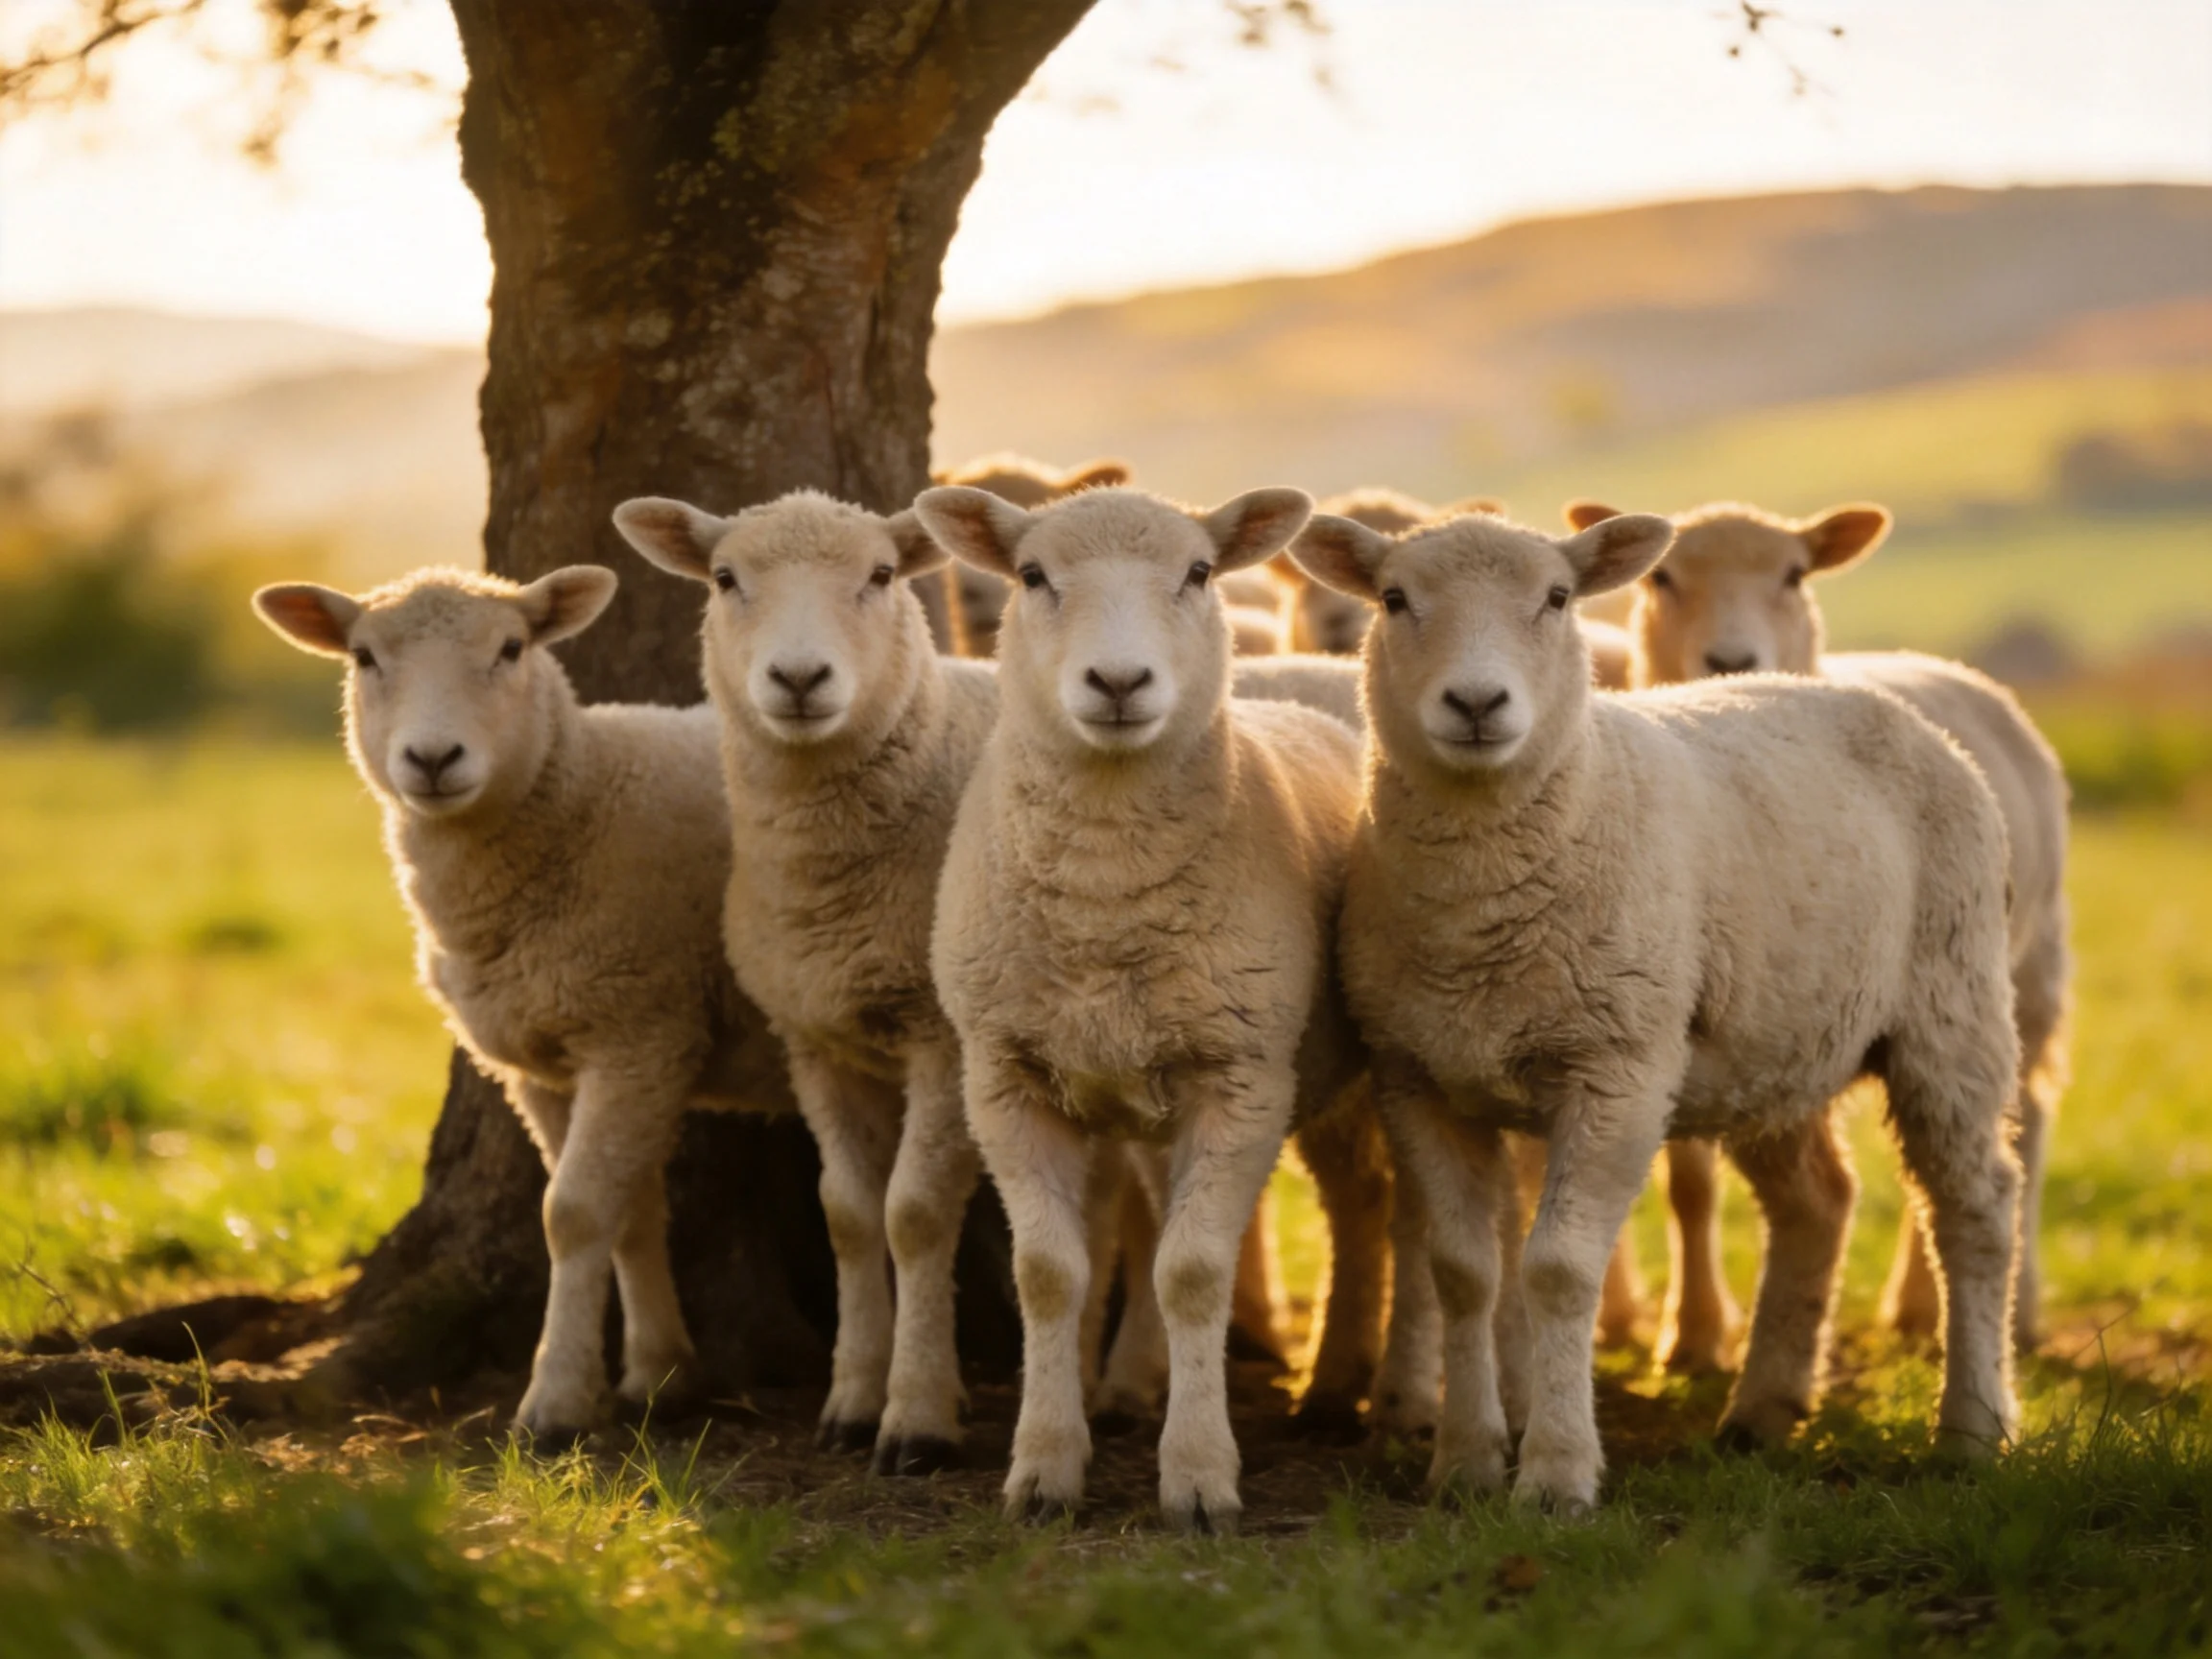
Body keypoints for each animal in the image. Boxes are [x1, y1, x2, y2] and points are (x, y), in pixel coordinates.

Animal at [251, 565, 789, 1439]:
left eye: (511, 648)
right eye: (364, 657)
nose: (433, 757)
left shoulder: (640, 1028)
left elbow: (571, 1214)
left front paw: (556, 1402)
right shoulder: (547, 1060)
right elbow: (630, 1210)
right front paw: (660, 1372)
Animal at [610, 489, 1002, 1475]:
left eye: (880, 575)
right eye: (724, 578)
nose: (797, 678)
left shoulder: (945, 1037)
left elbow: (915, 1212)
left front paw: (916, 1418)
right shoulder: (816, 1038)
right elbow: (850, 1216)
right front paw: (854, 1401)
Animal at [914, 480, 1381, 1530]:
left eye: (1200, 573)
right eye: (1033, 575)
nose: (1119, 681)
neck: (1105, 889)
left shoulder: (1243, 1077)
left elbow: (1193, 1270)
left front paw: (1200, 1476)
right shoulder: (1004, 1076)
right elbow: (1050, 1272)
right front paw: (1045, 1466)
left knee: (1371, 1205)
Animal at [1291, 505, 2023, 1511]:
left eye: (1558, 598)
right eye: (1395, 599)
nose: (1477, 705)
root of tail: (1872, 699)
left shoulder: (1618, 1070)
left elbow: (1559, 1271)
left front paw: (1557, 1476)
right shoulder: (1419, 1077)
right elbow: (1464, 1273)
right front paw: (1465, 1464)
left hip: (1950, 1004)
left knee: (1976, 1206)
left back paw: (1971, 1430)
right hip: (1775, 1043)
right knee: (1818, 1201)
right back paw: (1762, 1413)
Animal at [1567, 497, 2070, 1361]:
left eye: (1794, 575)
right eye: (1665, 577)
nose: (1730, 658)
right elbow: (1689, 1184)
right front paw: (1694, 1333)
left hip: (2016, 977)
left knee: (2021, 1131)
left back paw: (2007, 1309)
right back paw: (1915, 1306)